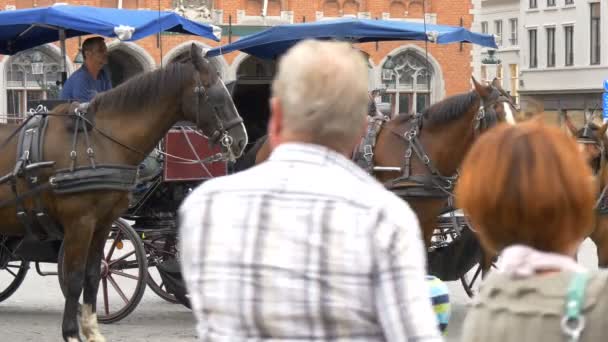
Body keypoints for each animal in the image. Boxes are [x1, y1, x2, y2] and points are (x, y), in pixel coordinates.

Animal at [0, 44, 249, 340]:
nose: (241, 140)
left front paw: (92, 330)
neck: (99, 142)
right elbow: (74, 278)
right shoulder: (79, 223)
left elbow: (93, 274)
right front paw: (71, 332)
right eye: (214, 94)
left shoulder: (103, 223)